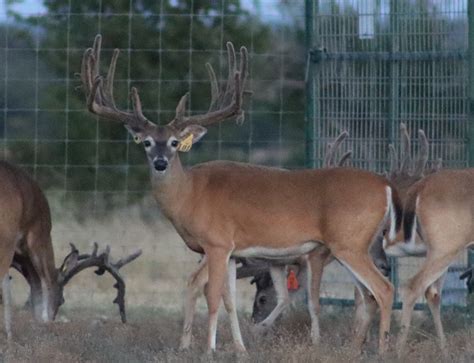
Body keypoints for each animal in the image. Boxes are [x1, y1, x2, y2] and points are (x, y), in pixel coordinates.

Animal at [81, 34, 400, 356]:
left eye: (173, 142)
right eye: (146, 142)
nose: (160, 163)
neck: (190, 194)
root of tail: (385, 186)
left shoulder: (217, 243)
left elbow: (212, 297)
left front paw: (209, 350)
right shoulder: (234, 252)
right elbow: (230, 301)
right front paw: (240, 349)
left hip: (348, 242)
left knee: (384, 289)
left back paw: (383, 349)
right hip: (352, 245)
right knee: (367, 296)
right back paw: (357, 348)